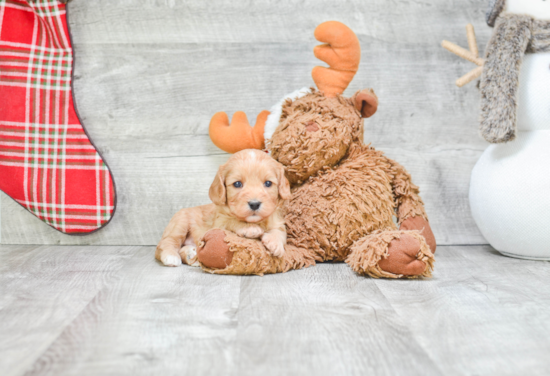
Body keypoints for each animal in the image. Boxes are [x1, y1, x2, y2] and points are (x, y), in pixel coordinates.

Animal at [156, 148, 288, 266]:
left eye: (268, 183)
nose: (254, 204)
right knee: (166, 242)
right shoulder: (218, 223)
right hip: (180, 223)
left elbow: (281, 231)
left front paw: (275, 243)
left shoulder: (277, 220)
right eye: (237, 184)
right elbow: (232, 221)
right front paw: (249, 228)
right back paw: (171, 256)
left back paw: (191, 254)